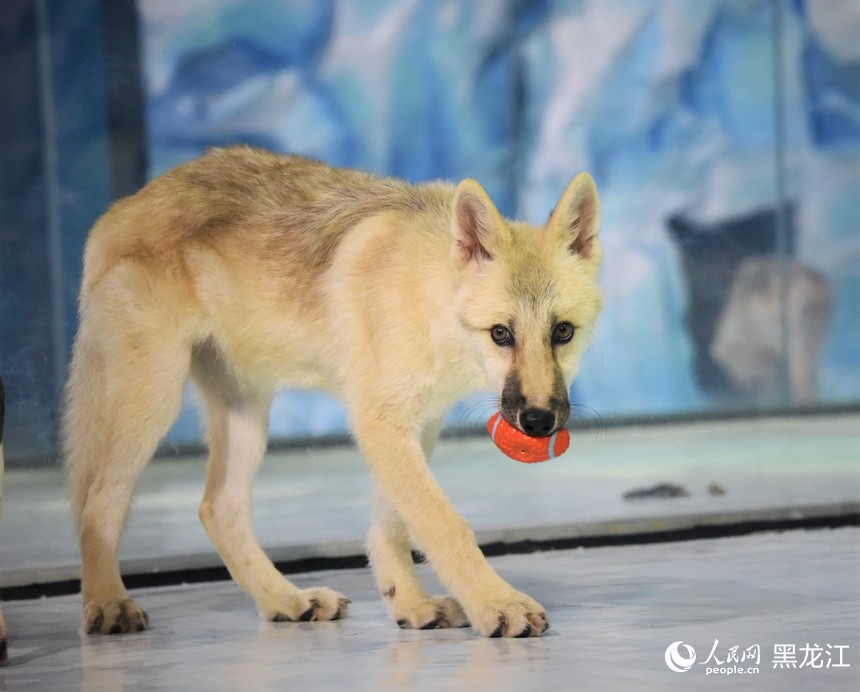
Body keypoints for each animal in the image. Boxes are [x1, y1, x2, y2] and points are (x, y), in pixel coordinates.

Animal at [63, 146, 600, 636]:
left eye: (562, 332)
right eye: (501, 334)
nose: (538, 422)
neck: (428, 299)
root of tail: (121, 209)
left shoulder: (415, 426)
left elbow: (392, 528)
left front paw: (410, 604)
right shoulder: (380, 426)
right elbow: (445, 525)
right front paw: (497, 605)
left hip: (246, 415)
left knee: (217, 509)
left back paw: (285, 600)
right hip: (151, 403)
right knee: (97, 504)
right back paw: (107, 604)